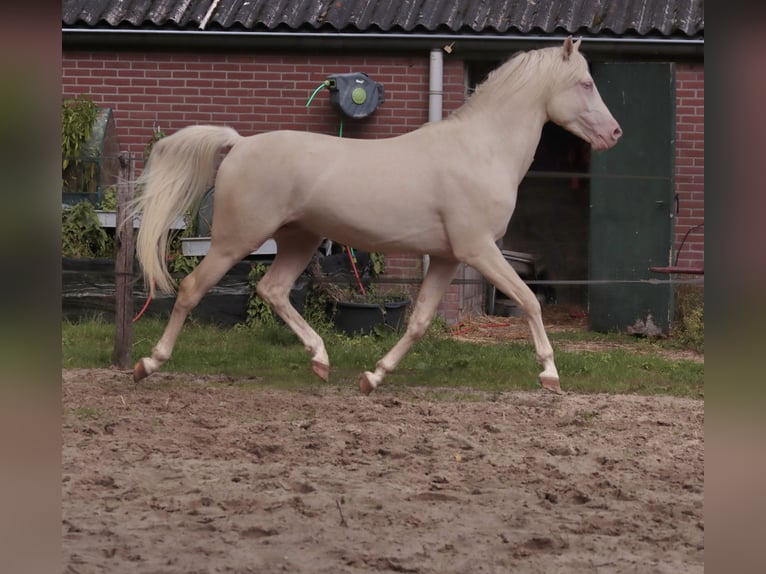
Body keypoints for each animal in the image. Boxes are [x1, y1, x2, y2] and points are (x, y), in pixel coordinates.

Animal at [130, 36, 624, 396]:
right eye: (585, 83)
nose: (614, 133)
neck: (481, 149)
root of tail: (240, 143)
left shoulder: (447, 258)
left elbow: (420, 320)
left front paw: (374, 376)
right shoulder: (478, 250)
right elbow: (528, 300)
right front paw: (550, 374)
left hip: (299, 239)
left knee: (273, 290)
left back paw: (321, 360)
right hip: (236, 240)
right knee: (192, 289)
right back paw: (148, 363)